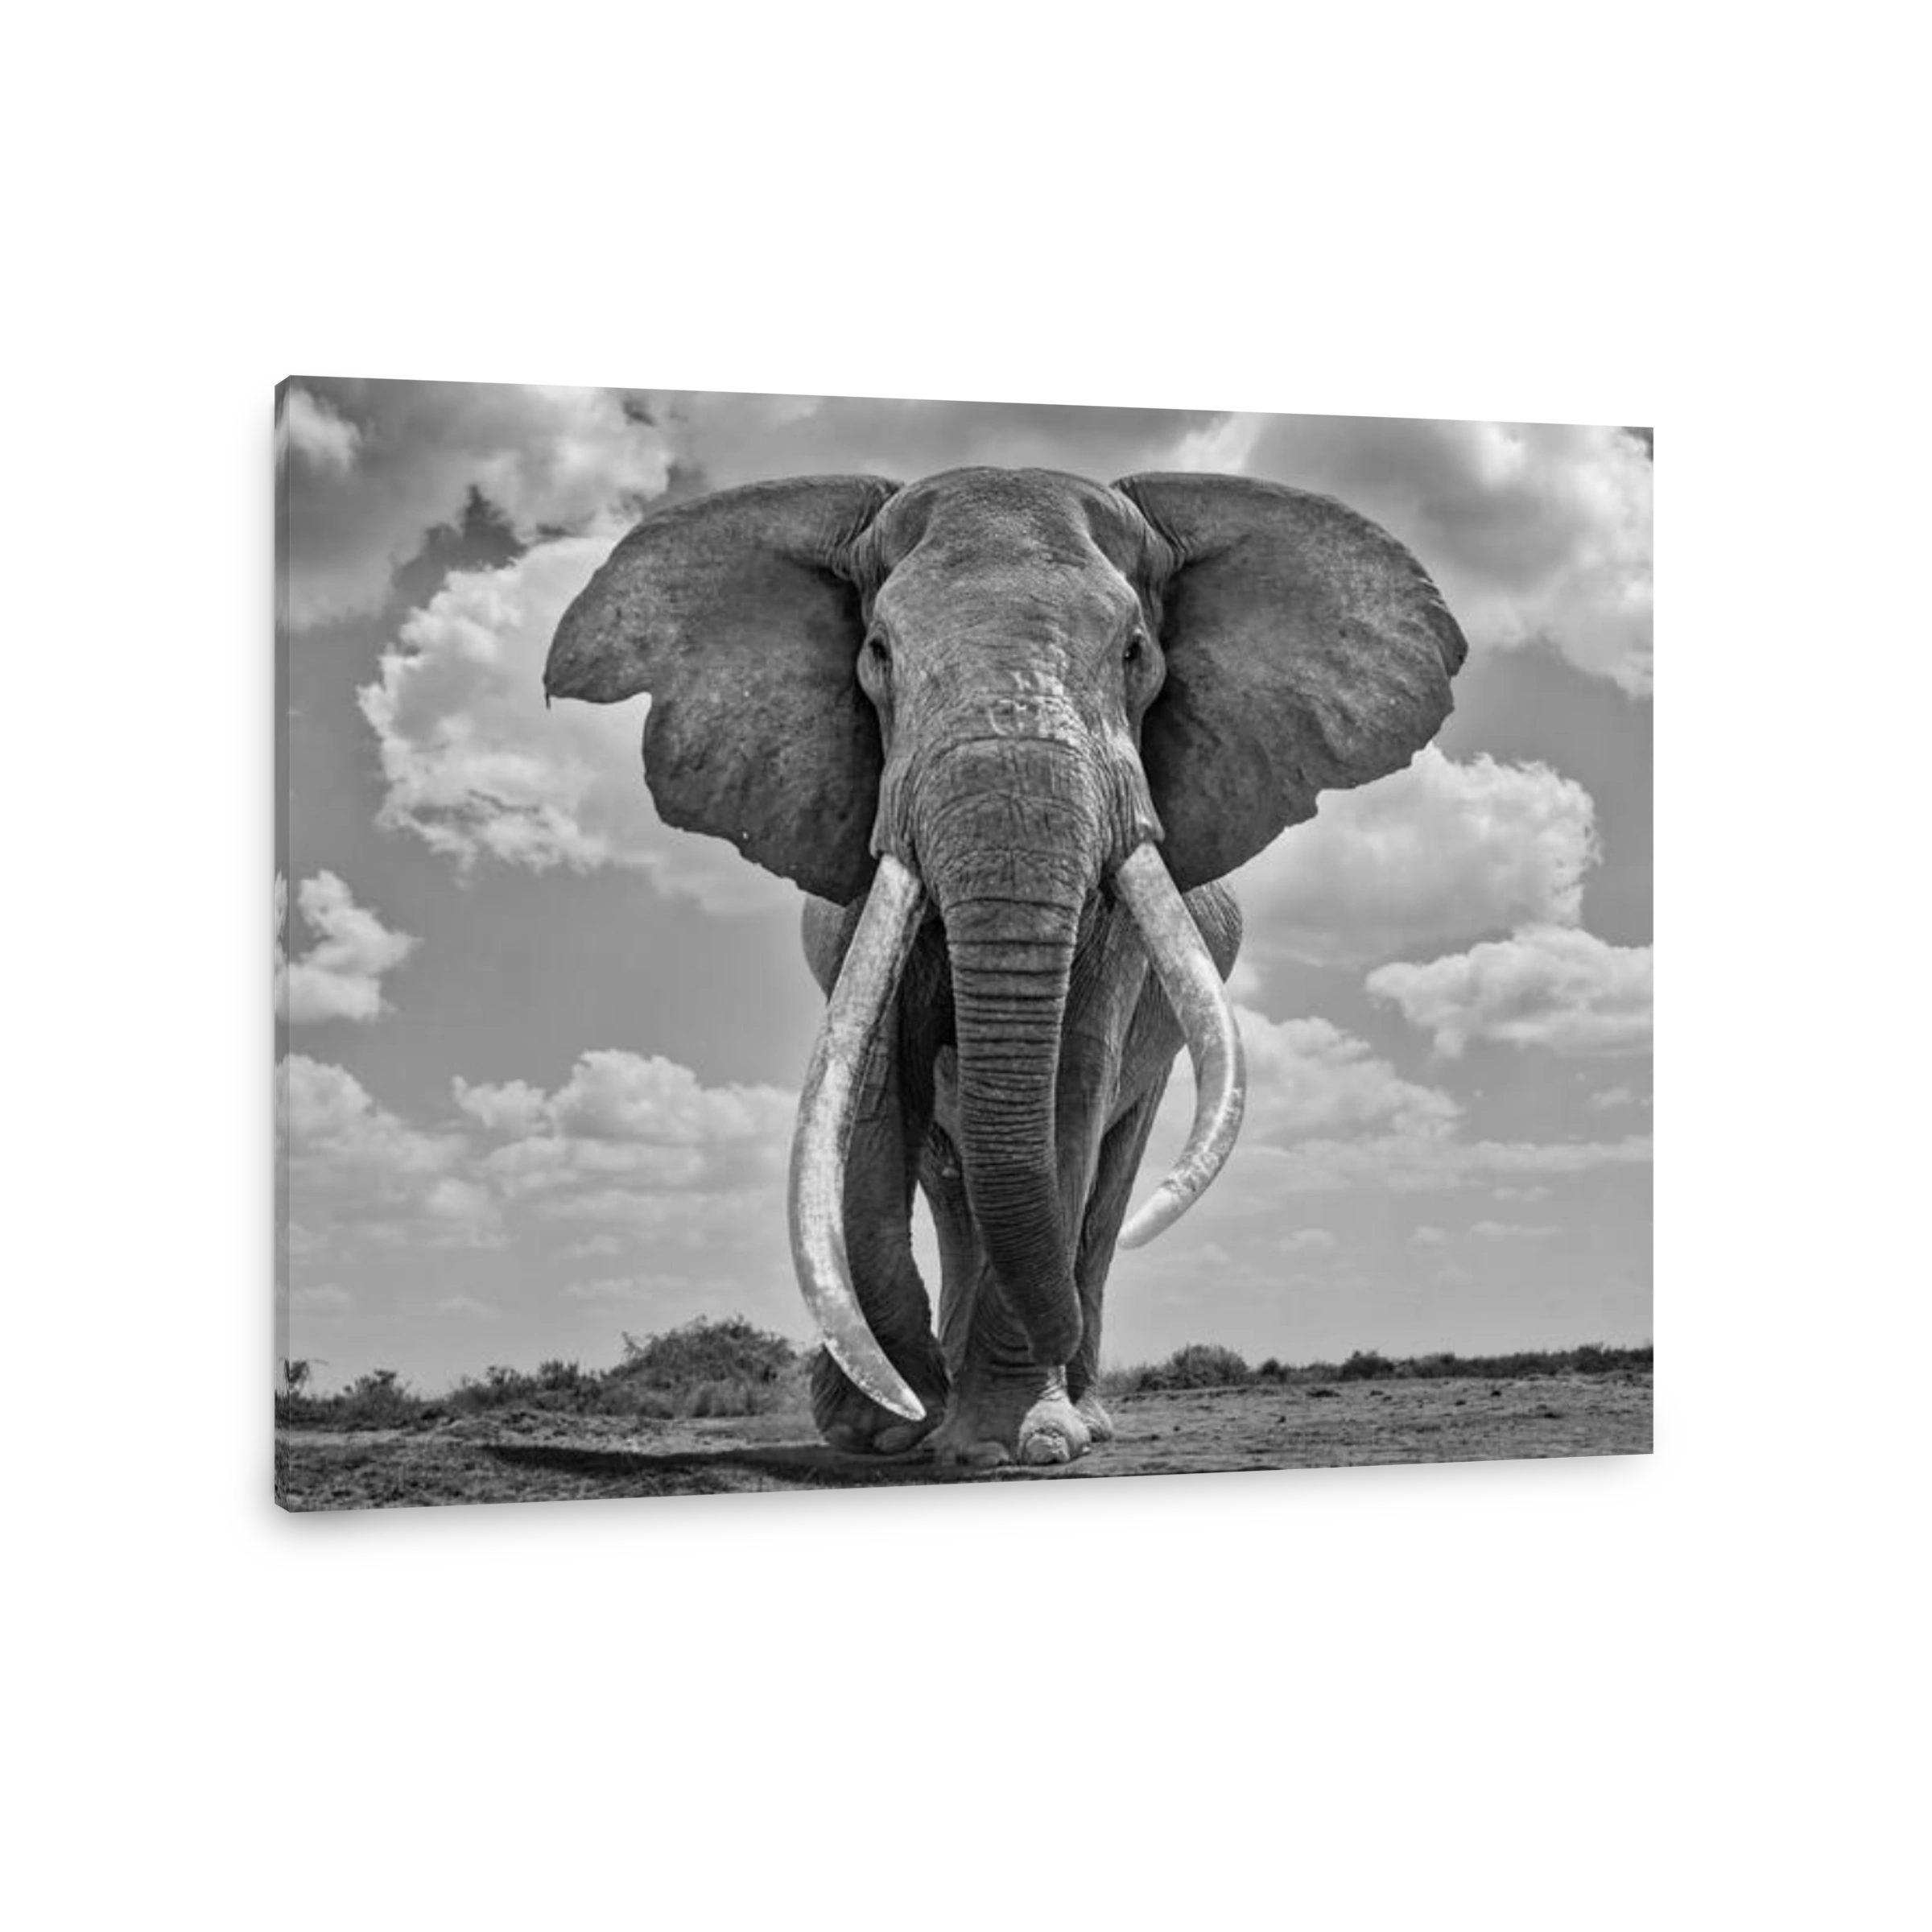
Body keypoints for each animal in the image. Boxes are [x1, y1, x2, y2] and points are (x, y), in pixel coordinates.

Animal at [543, 467, 1467, 1465]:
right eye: (878, 653)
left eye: (1136, 652)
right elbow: (873, 1093)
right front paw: (887, 1427)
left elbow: (1065, 1089)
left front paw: (1014, 1441)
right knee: (955, 1188)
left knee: (1103, 1186)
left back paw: (1073, 1407)